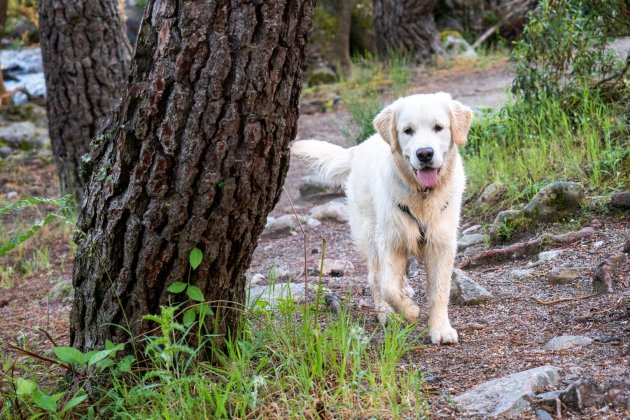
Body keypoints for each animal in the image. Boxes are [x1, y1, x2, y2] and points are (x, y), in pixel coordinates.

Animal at [294, 92, 472, 344]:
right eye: (407, 130)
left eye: (439, 127)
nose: (424, 154)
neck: (422, 196)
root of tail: (358, 148)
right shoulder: (390, 240)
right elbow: (388, 287)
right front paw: (409, 311)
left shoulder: (441, 242)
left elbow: (439, 291)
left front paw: (440, 329)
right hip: (370, 232)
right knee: (375, 277)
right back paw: (386, 314)